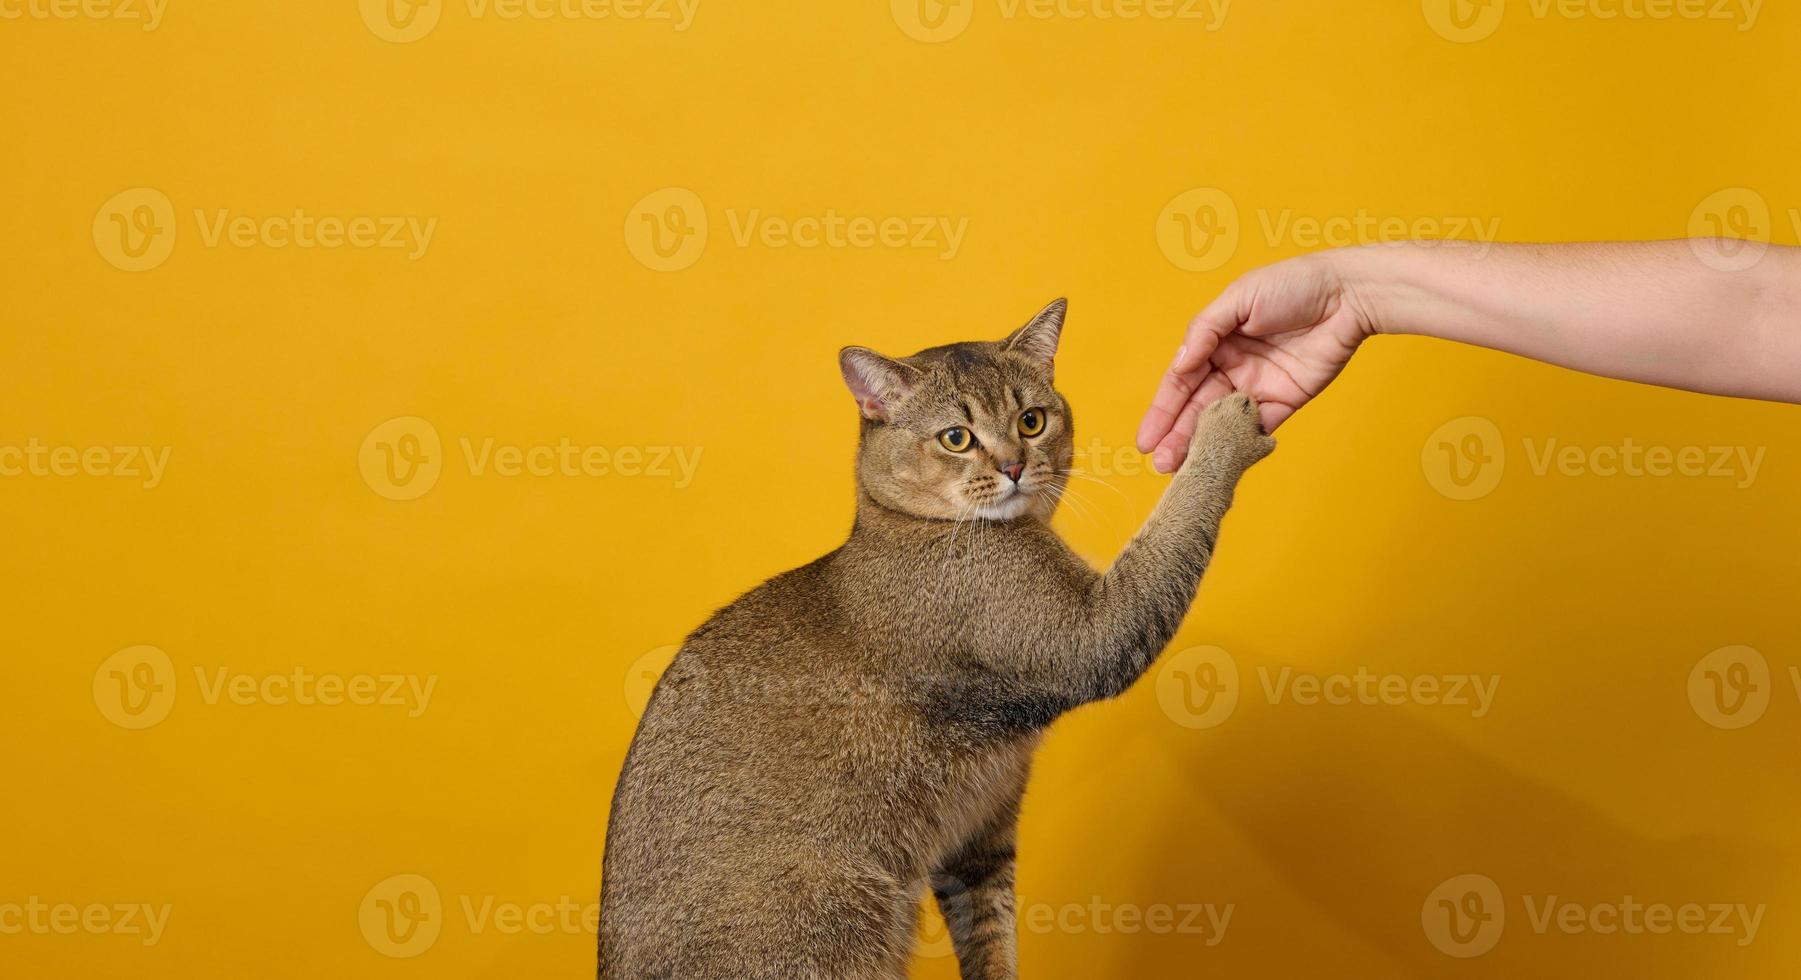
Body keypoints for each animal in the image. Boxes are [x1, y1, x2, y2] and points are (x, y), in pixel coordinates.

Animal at [597, 299, 1275, 980]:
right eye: (957, 438)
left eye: (1032, 421)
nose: (1014, 466)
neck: (914, 529)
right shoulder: (1093, 632)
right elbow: (1171, 536)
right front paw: (1224, 432)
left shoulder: (982, 835)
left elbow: (991, 937)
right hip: (835, 914)